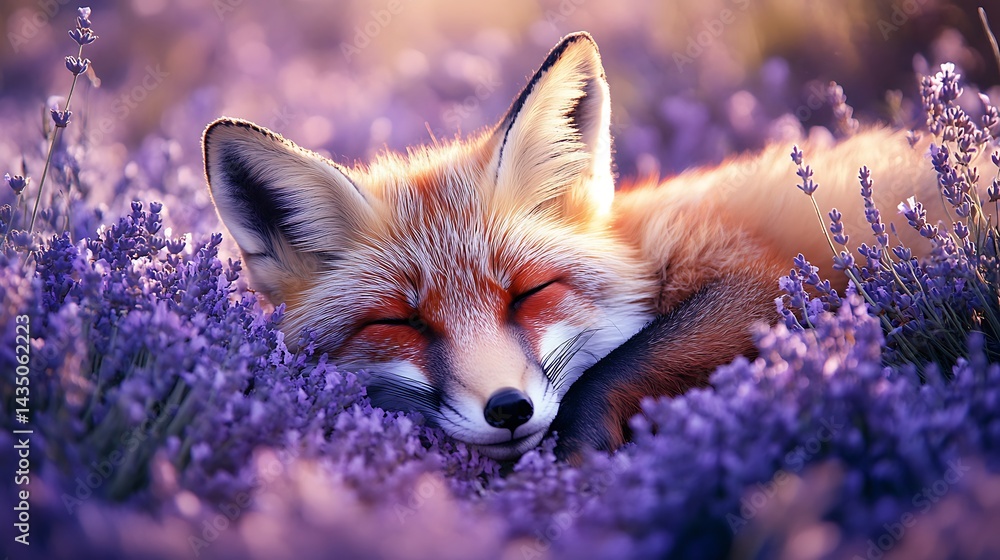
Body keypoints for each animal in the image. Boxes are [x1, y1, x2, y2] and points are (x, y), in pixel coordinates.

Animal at [203, 32, 949, 462]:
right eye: (399, 322)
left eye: (531, 292)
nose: (508, 410)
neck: (639, 244)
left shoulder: (767, 278)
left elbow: (610, 370)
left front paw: (583, 466)